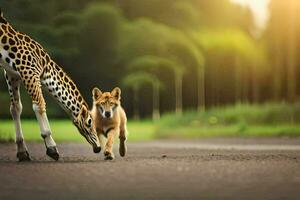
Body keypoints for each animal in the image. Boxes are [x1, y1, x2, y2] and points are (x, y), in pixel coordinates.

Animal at [0, 9, 101, 161]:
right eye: (89, 121)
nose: (98, 147)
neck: (45, 68)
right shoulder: (28, 70)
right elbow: (39, 104)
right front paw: (52, 149)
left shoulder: (12, 74)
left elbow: (15, 108)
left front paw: (22, 152)